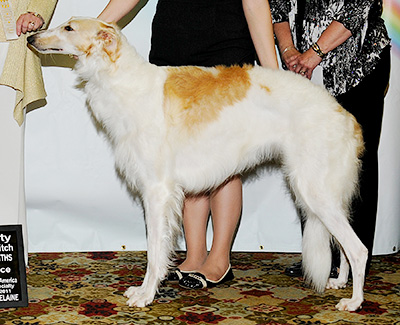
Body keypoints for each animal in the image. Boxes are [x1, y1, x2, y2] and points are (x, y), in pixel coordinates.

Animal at [28, 18, 368, 312]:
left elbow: (154, 250)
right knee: (344, 247)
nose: (31, 37)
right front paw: (147, 289)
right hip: (323, 193)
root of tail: (344, 115)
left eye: (69, 27)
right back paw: (339, 282)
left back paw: (354, 302)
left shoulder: (157, 191)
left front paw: (146, 295)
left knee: (359, 249)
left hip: (313, 190)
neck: (123, 79)